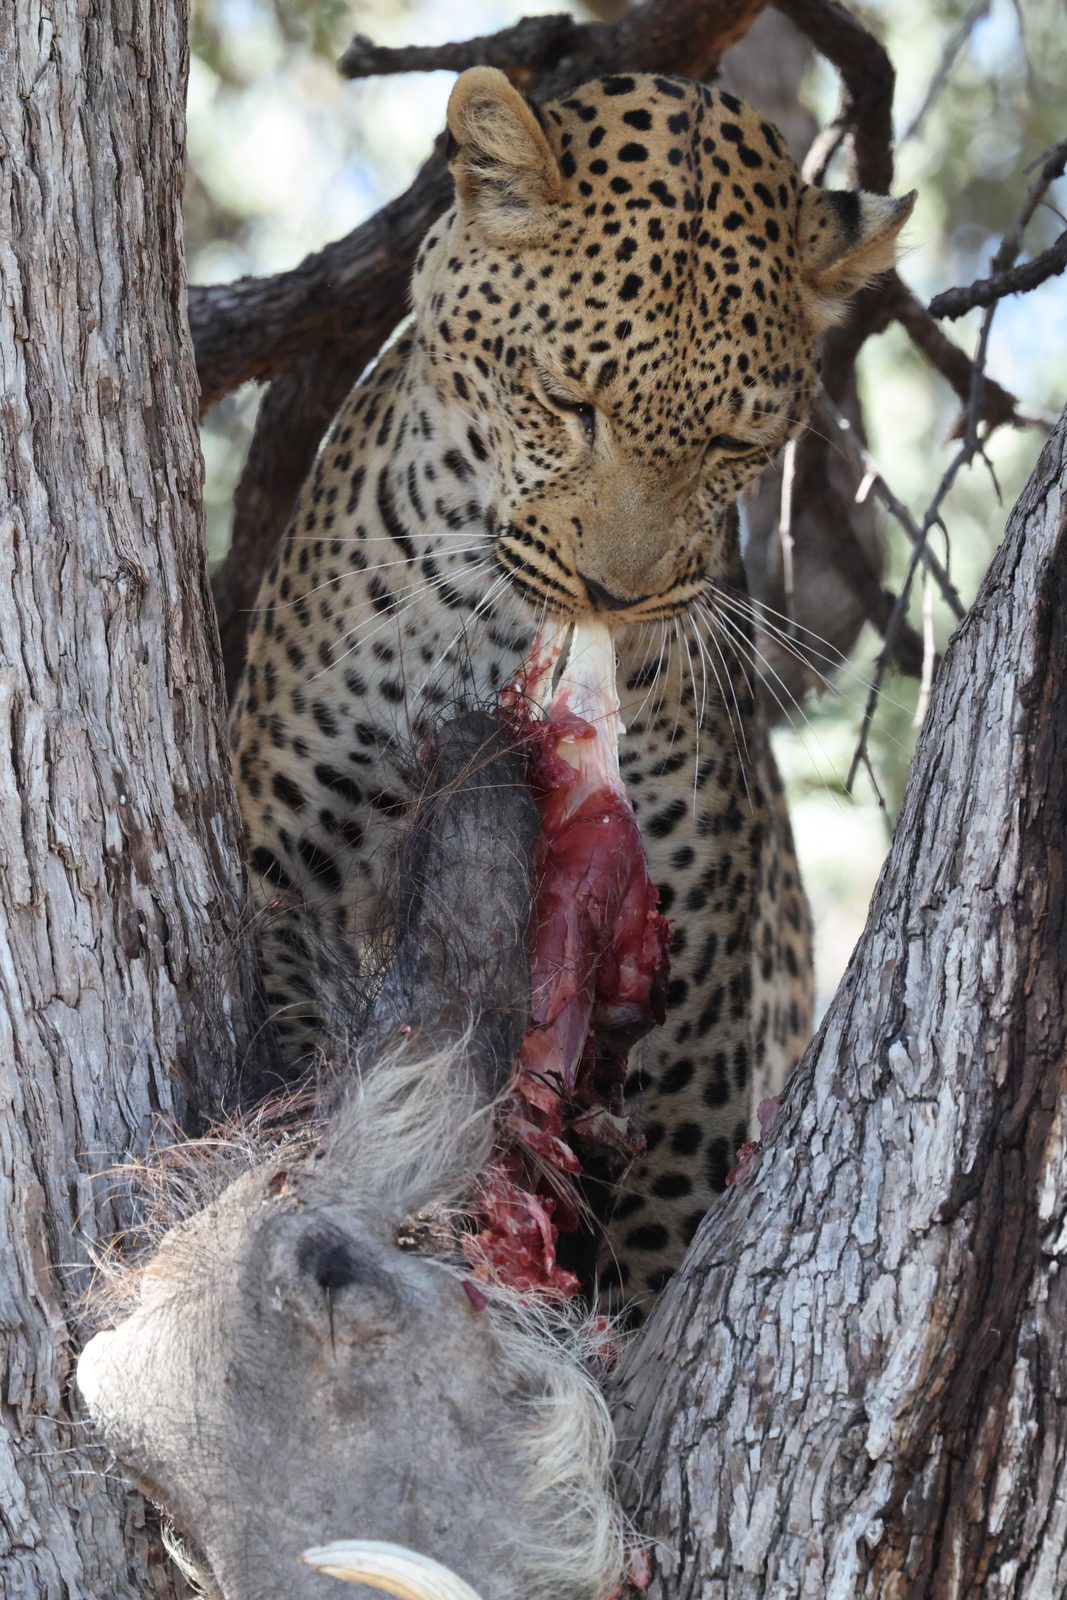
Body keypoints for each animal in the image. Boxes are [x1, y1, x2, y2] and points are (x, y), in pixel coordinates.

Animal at [230, 67, 913, 1310]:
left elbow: (666, 1197)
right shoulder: (288, 870)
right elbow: (305, 1047)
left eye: (734, 439)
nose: (614, 591)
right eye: (565, 399)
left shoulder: (698, 974)